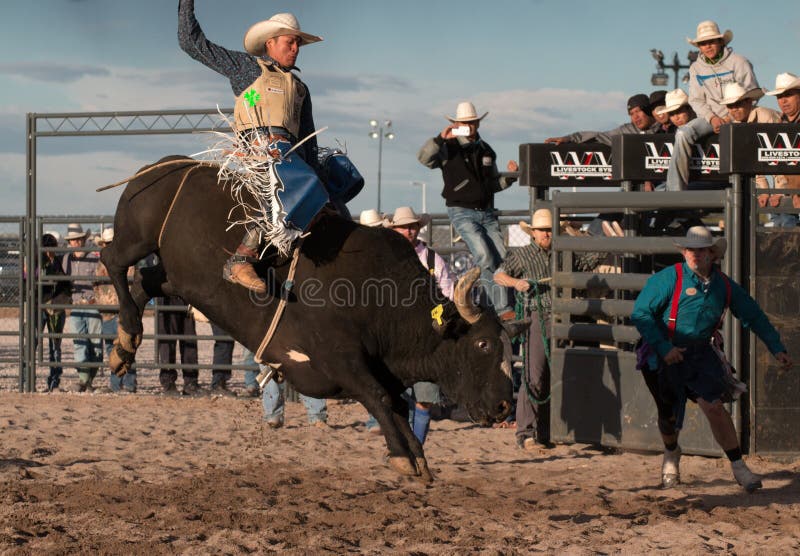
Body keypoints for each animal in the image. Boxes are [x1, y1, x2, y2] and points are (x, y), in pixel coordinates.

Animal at [101, 155, 524, 482]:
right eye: (483, 344)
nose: (506, 406)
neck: (379, 296)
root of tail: (160, 167)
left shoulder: (381, 367)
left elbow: (395, 403)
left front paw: (417, 455)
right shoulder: (337, 359)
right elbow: (378, 397)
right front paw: (402, 456)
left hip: (177, 275)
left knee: (145, 281)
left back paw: (124, 344)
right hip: (136, 237)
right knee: (113, 261)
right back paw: (128, 332)